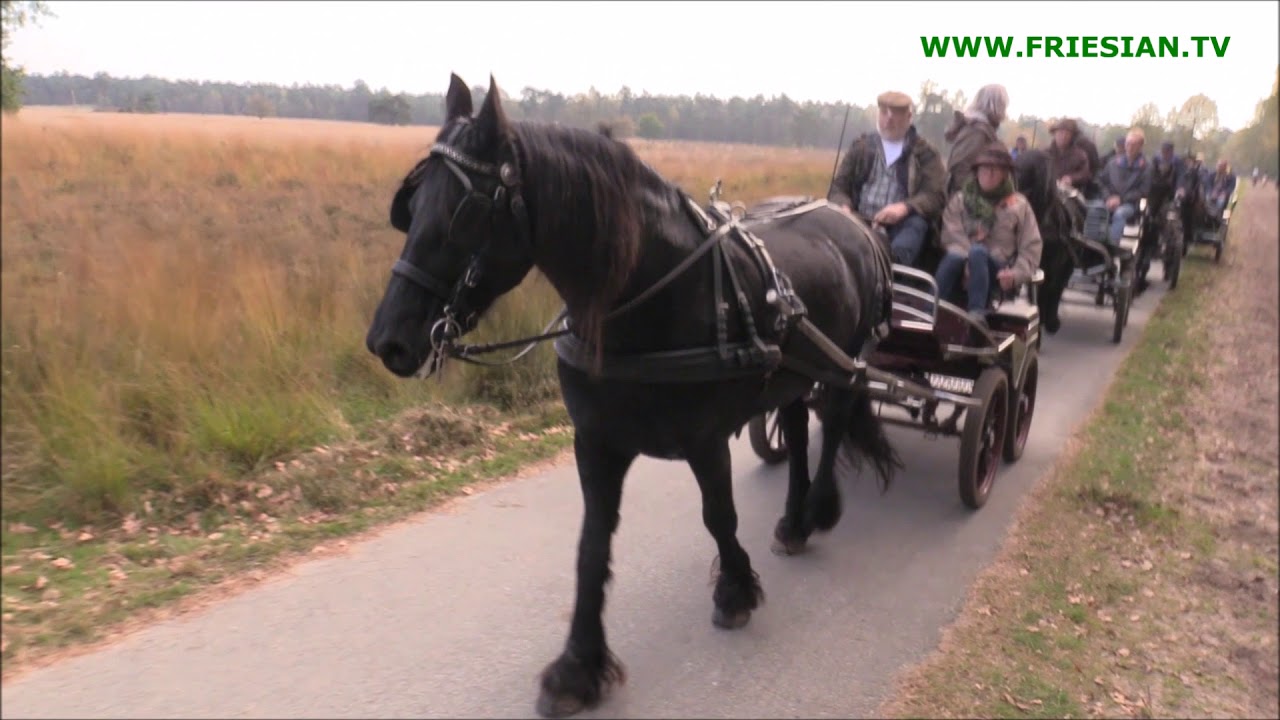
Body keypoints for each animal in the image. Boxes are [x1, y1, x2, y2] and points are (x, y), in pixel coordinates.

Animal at [365, 74, 901, 718]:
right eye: (412, 207)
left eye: (463, 213)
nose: (388, 340)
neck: (648, 294)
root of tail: (854, 223)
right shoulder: (596, 442)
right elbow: (591, 547)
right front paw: (578, 666)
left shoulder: (704, 439)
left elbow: (718, 515)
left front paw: (735, 591)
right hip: (793, 371)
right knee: (797, 429)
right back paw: (794, 519)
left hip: (846, 360)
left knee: (836, 419)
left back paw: (816, 511)